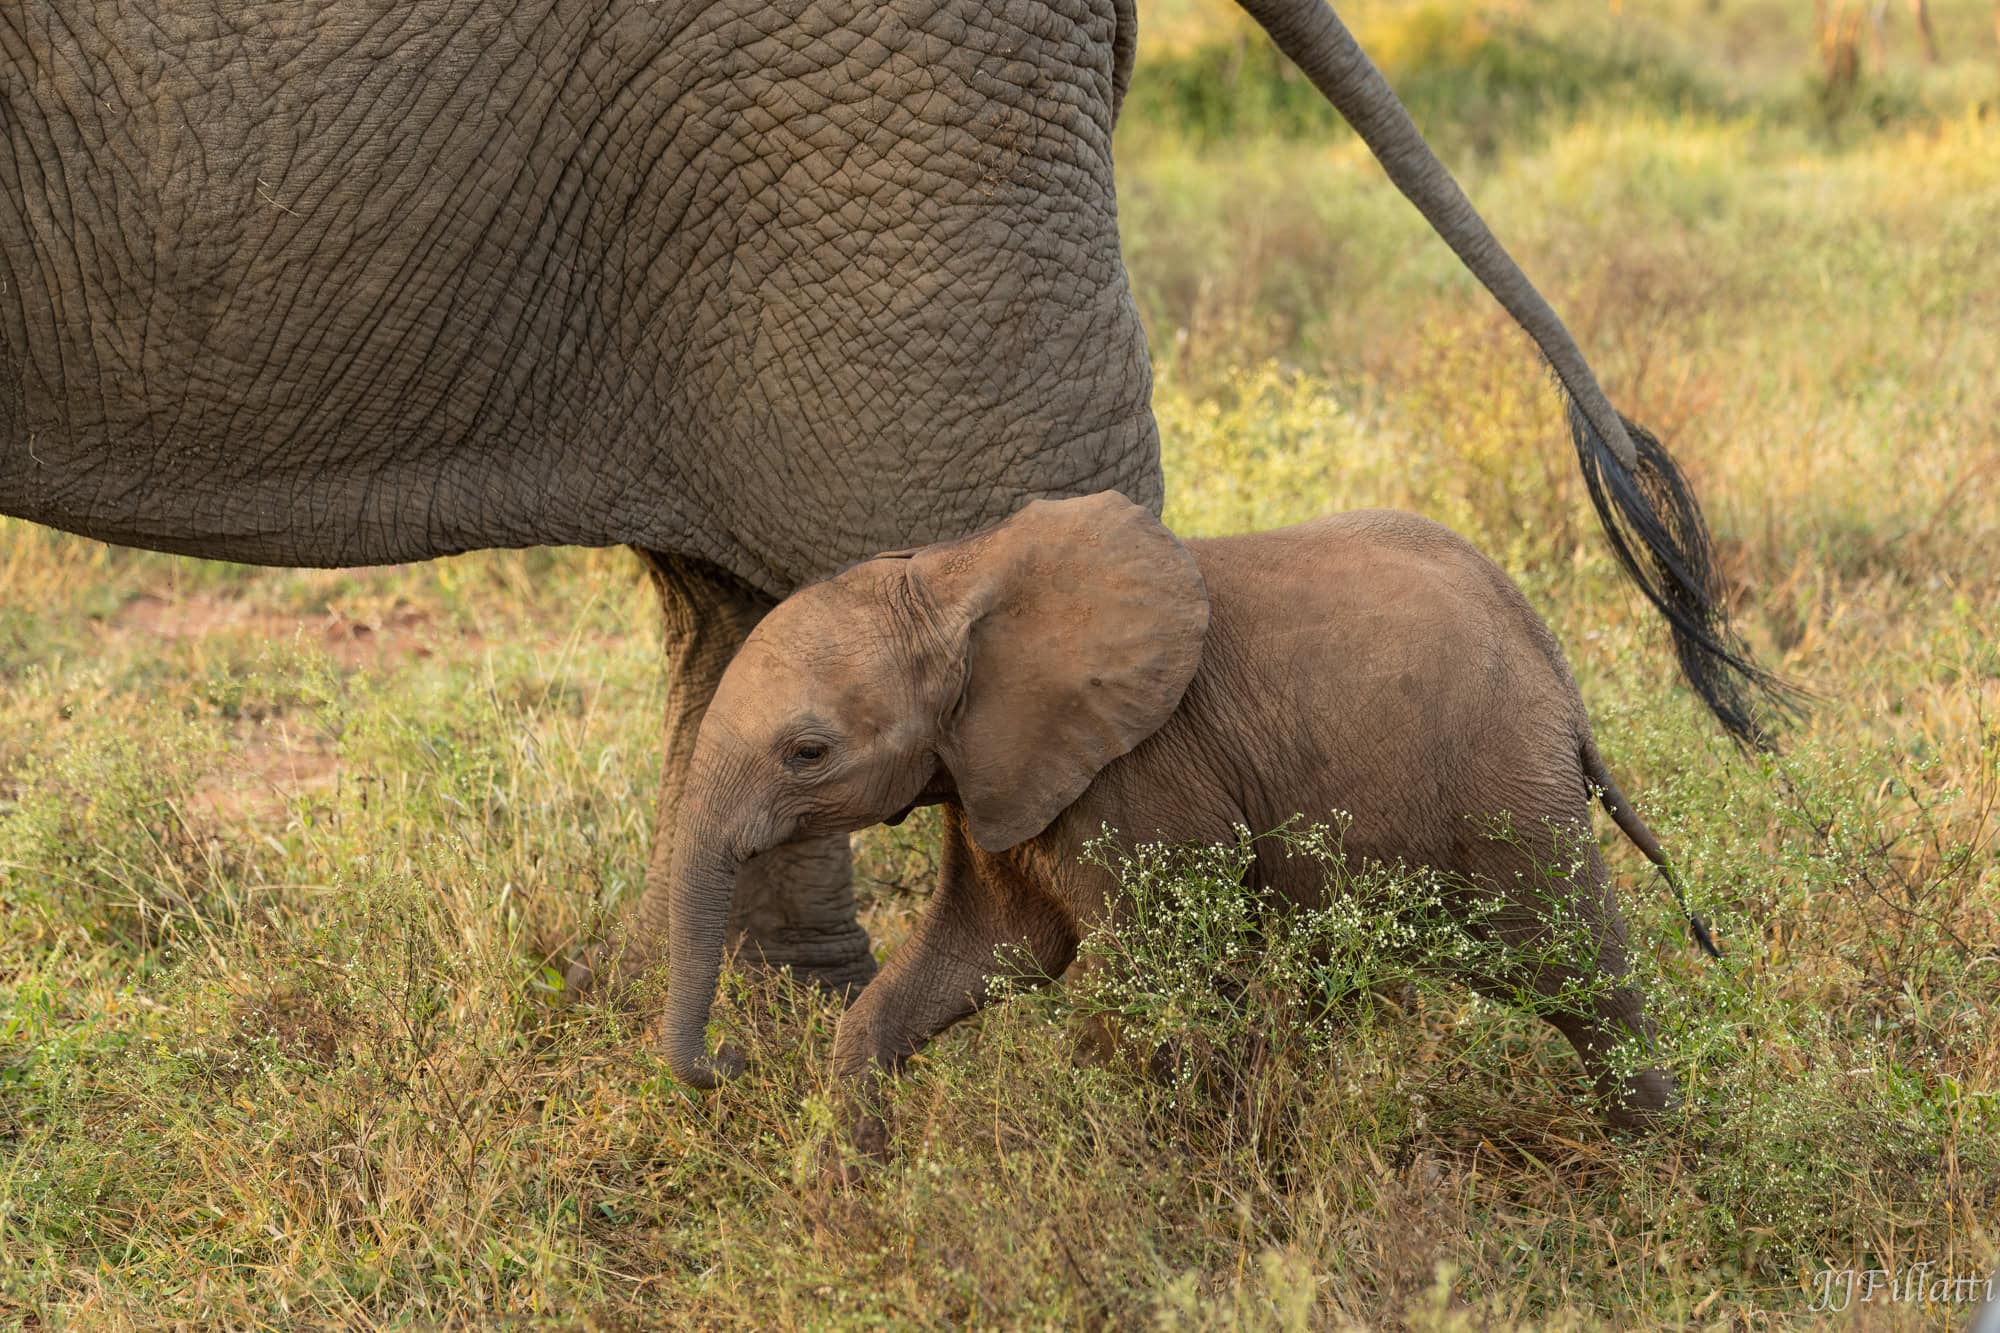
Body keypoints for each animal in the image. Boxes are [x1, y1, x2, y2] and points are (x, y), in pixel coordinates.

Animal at [656, 492, 1704, 1144]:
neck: (952, 576)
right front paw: (849, 1183)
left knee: (1570, 963)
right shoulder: (995, 771)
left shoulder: (1134, 773)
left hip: (1506, 782)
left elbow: (1140, 981)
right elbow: (988, 950)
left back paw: (1650, 1157)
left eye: (808, 753)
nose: (736, 1058)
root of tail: (1554, 662)